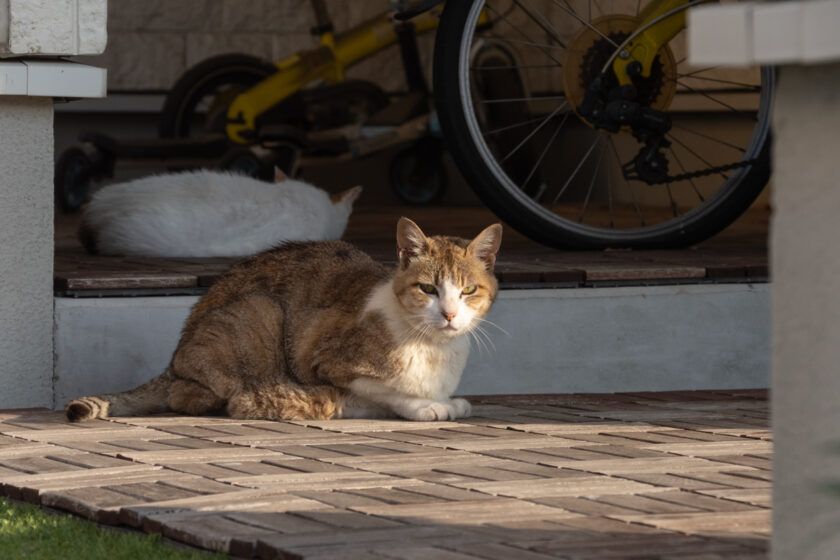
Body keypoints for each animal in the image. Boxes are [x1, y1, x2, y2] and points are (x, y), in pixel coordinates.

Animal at [67, 217, 498, 422]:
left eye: (468, 290)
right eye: (428, 288)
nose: (449, 313)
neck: (433, 347)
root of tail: (173, 359)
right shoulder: (324, 359)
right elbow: (387, 390)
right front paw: (428, 406)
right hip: (263, 311)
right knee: (189, 395)